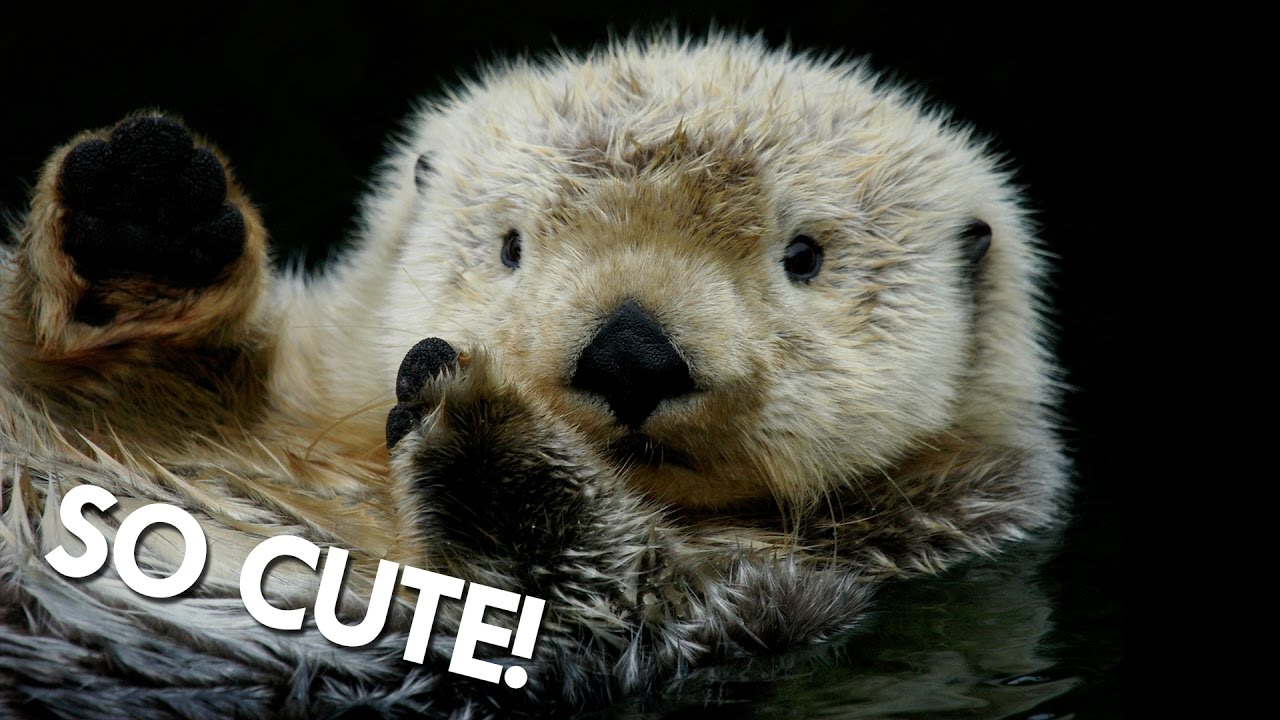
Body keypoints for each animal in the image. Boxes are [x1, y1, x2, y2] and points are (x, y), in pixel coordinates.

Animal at [0, 34, 1066, 718]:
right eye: (512, 245)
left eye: (804, 257)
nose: (631, 353)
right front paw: (143, 214)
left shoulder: (754, 593)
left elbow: (576, 587)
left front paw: (470, 410)